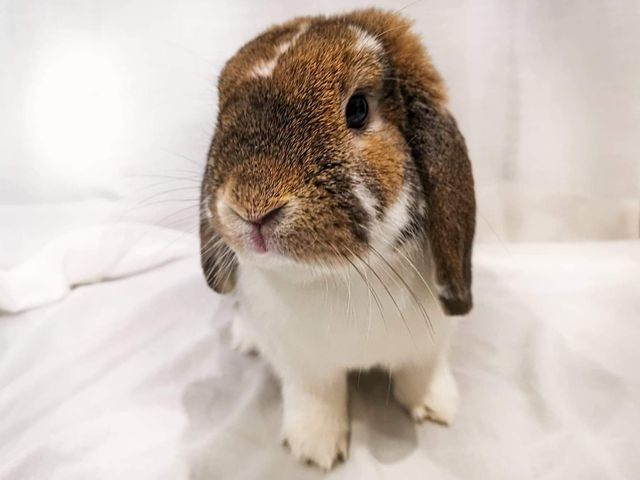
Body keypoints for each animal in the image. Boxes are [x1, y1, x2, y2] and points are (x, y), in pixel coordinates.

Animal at [199, 9, 475, 470]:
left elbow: (422, 373)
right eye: (223, 114)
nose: (251, 207)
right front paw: (315, 450)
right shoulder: (305, 366)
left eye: (358, 108)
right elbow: (316, 399)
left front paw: (438, 408)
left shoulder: (430, 343)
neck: (343, 277)